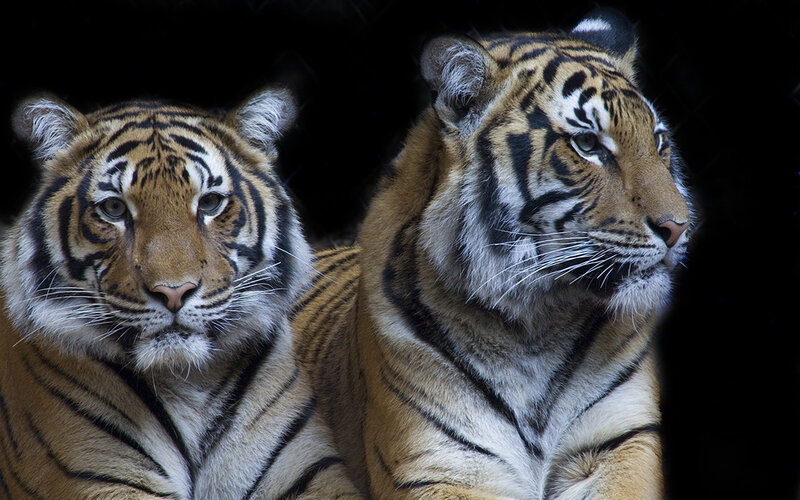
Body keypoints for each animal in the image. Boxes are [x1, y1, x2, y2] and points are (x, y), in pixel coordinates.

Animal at [0, 90, 362, 498]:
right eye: (114, 208)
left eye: (209, 203)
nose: (174, 293)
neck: (191, 383)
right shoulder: (95, 476)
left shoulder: (312, 472)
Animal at [293, 8, 694, 499]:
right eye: (588, 145)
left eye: (659, 142)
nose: (678, 227)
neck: (536, 325)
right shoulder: (438, 465)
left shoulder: (621, 440)